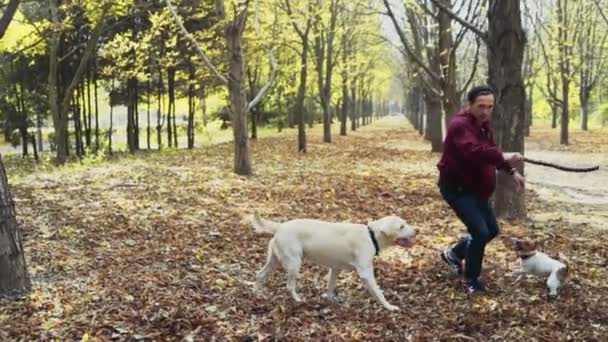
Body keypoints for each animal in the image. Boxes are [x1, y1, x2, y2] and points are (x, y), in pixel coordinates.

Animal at [249, 212, 416, 312]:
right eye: (401, 226)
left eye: (405, 223)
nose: (417, 231)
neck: (372, 236)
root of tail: (280, 226)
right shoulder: (366, 273)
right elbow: (379, 293)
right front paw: (389, 307)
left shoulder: (335, 269)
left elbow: (330, 287)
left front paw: (331, 301)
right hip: (294, 263)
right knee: (289, 286)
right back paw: (298, 300)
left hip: (274, 261)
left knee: (259, 275)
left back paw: (257, 294)